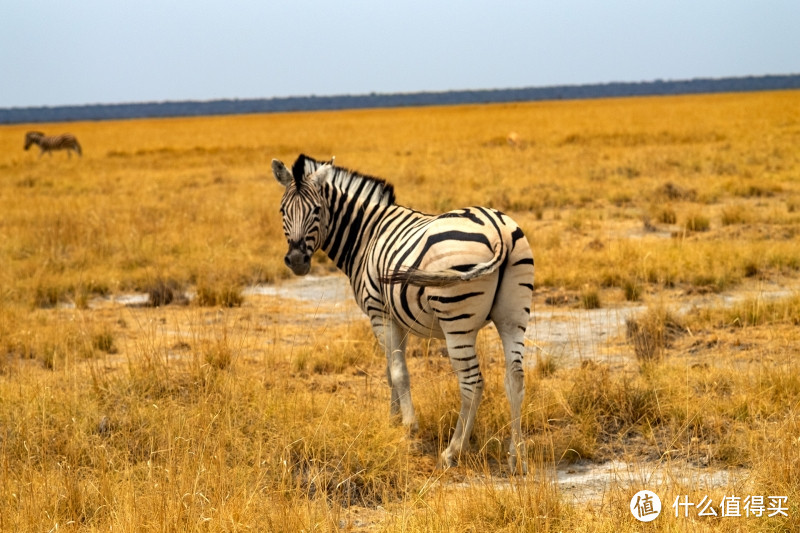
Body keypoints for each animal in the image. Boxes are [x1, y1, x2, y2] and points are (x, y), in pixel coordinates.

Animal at [272, 155, 536, 474]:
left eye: (317, 210)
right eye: (283, 211)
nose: (297, 260)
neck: (366, 235)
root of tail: (499, 231)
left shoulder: (379, 313)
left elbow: (398, 371)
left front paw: (409, 426)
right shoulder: (399, 317)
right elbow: (390, 370)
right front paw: (393, 419)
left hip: (456, 321)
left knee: (472, 383)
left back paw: (452, 452)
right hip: (514, 315)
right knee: (515, 379)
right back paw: (517, 456)